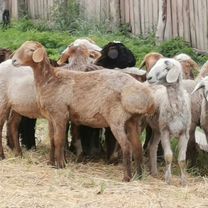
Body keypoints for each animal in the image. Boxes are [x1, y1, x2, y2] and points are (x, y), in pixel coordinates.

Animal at [11, 40, 154, 180]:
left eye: (31, 50)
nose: (13, 61)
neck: (49, 79)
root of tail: (139, 91)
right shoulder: (51, 117)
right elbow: (52, 139)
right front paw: (51, 163)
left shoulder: (60, 114)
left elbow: (59, 140)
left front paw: (60, 165)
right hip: (132, 120)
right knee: (137, 146)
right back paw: (138, 175)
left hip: (116, 119)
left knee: (126, 146)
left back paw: (127, 177)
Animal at [145, 57, 191, 185]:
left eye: (167, 68)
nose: (149, 78)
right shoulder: (165, 131)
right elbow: (168, 156)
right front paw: (168, 179)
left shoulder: (185, 133)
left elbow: (182, 159)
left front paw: (184, 181)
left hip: (157, 129)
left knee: (152, 146)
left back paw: (154, 172)